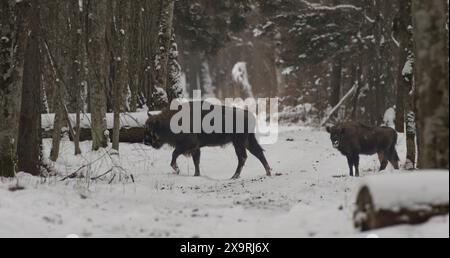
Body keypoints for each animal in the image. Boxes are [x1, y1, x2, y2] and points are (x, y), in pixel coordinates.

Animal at [144, 101, 272, 179]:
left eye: (152, 130)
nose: (146, 142)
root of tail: (248, 115)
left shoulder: (188, 145)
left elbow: (174, 154)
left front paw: (177, 169)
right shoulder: (195, 149)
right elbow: (196, 162)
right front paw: (196, 175)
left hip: (238, 143)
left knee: (243, 157)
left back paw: (234, 176)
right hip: (247, 142)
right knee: (258, 153)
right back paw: (268, 172)